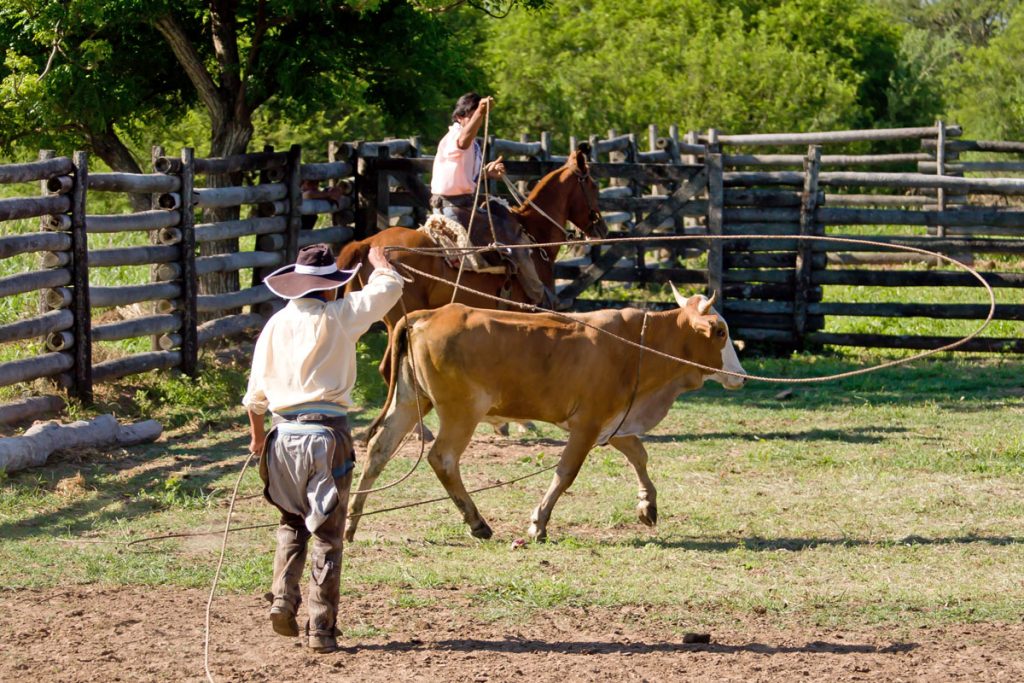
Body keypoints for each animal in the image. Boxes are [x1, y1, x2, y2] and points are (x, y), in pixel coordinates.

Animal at [346, 286, 745, 540]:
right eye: (720, 331)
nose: (740, 375)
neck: (640, 345)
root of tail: (426, 315)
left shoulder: (612, 422)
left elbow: (639, 454)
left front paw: (647, 505)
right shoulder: (587, 424)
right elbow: (566, 473)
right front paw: (538, 523)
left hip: (410, 401)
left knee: (379, 451)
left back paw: (351, 520)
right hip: (461, 413)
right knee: (442, 458)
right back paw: (477, 523)